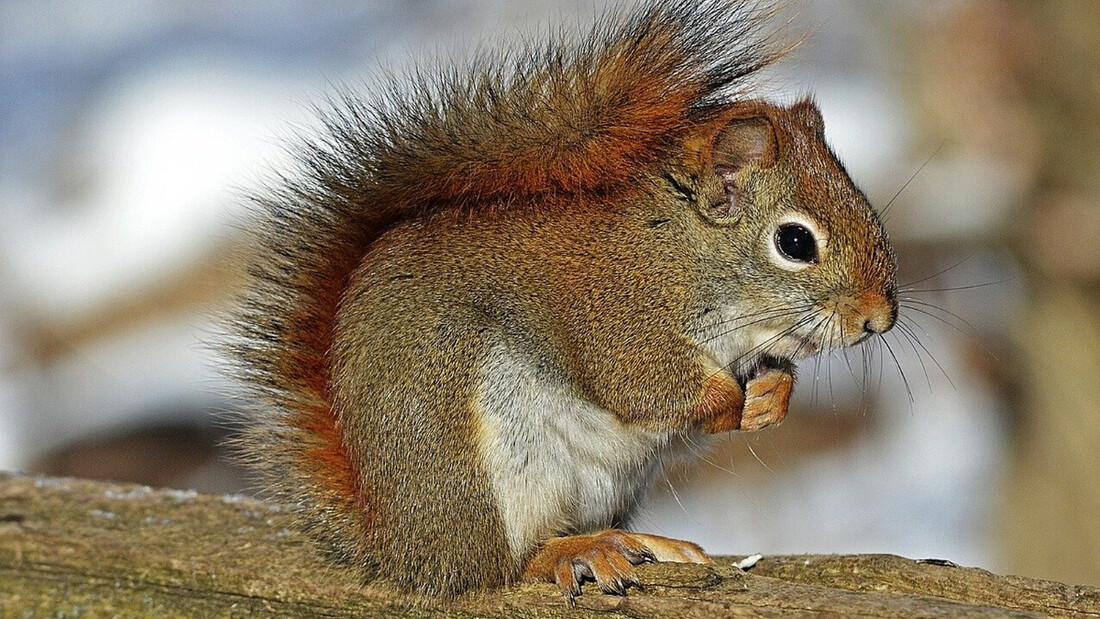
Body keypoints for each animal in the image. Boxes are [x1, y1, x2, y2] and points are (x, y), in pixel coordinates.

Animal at [221, 0, 893, 602]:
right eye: (795, 241)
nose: (878, 319)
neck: (681, 250)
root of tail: (399, 545)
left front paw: (773, 394)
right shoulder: (614, 314)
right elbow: (641, 384)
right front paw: (730, 400)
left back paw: (645, 544)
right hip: (485, 469)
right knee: (502, 566)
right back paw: (575, 552)